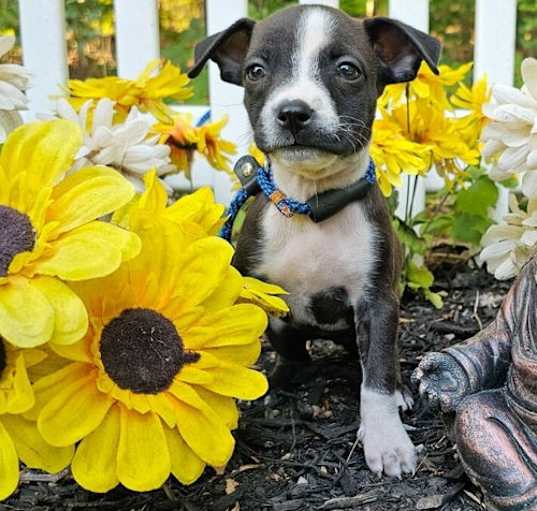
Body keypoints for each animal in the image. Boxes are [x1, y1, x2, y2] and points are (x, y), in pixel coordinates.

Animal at [188, 4, 440, 478]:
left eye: (348, 71)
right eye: (255, 71)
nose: (292, 111)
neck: (312, 204)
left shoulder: (377, 302)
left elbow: (377, 374)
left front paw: (386, 439)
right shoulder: (255, 290)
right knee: (293, 350)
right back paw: (288, 379)